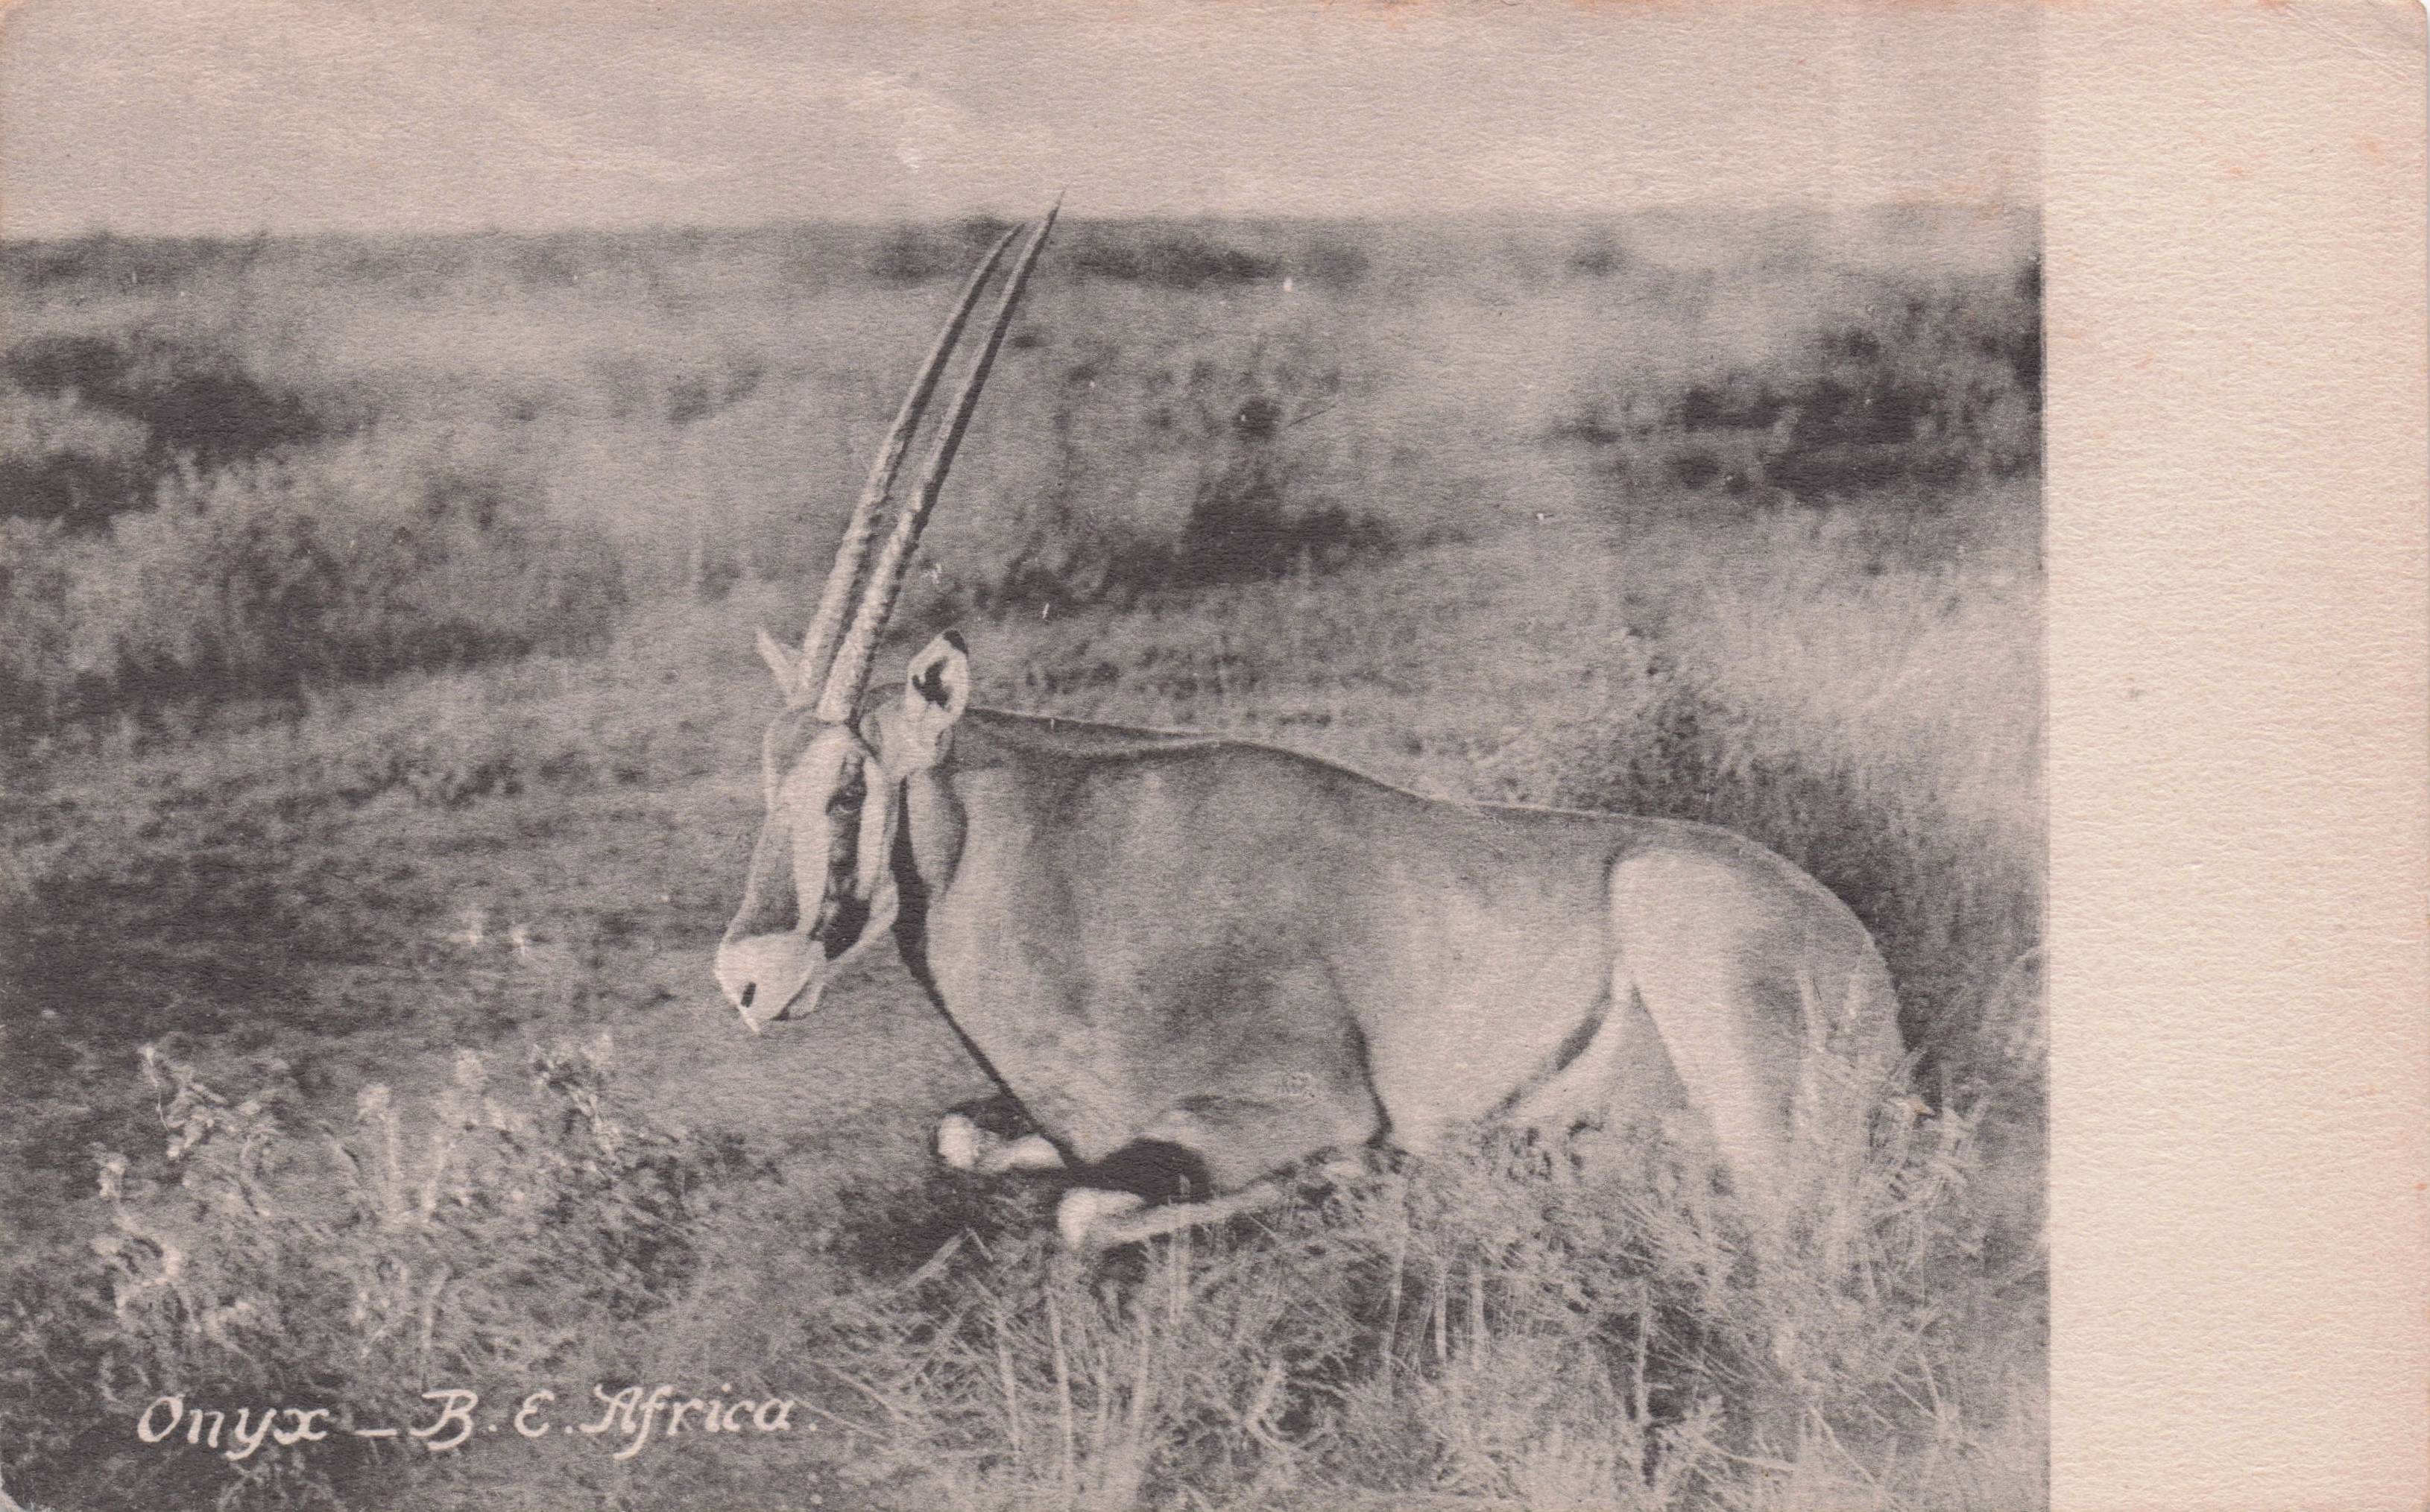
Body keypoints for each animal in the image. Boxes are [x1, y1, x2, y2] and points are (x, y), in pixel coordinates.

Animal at [713, 207, 1904, 1250]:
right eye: (769, 781)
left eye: (848, 783)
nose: (745, 981)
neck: (1067, 860)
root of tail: (1857, 956)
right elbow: (968, 1139)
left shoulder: (1292, 1103)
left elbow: (1088, 1208)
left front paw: (1358, 1175)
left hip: (1702, 987)